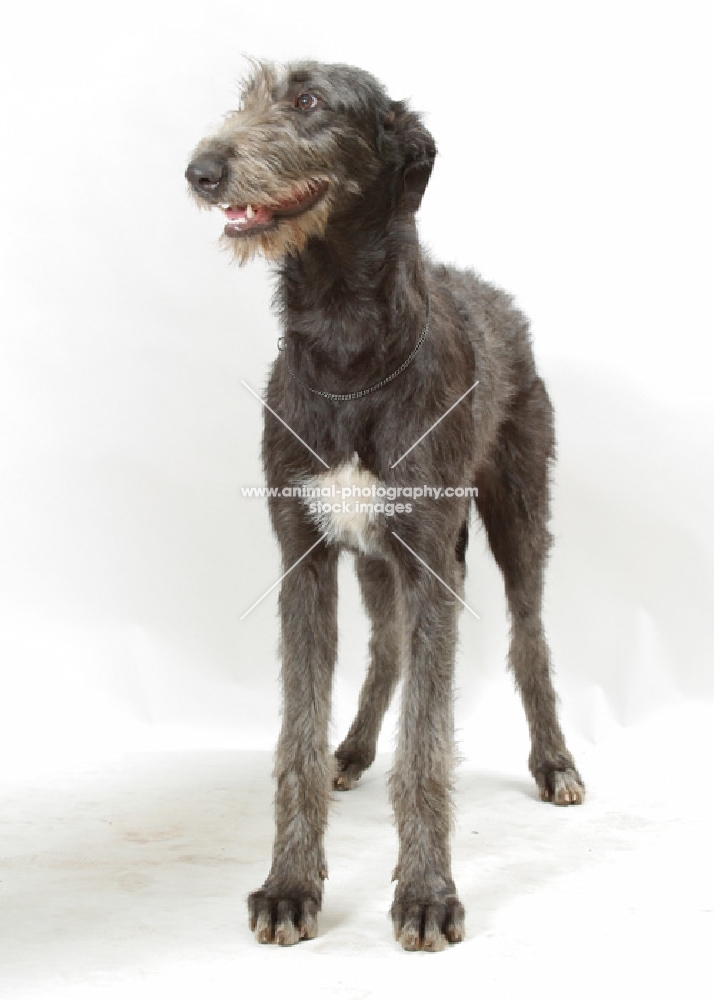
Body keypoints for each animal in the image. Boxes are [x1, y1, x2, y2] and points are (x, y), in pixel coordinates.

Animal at [186, 60, 580, 952]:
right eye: (246, 96)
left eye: (307, 101)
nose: (201, 170)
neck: (345, 343)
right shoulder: (304, 554)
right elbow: (296, 732)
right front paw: (290, 885)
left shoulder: (431, 558)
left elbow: (428, 742)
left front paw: (428, 893)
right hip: (372, 556)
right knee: (387, 649)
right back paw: (357, 748)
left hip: (516, 512)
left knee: (529, 637)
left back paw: (555, 762)